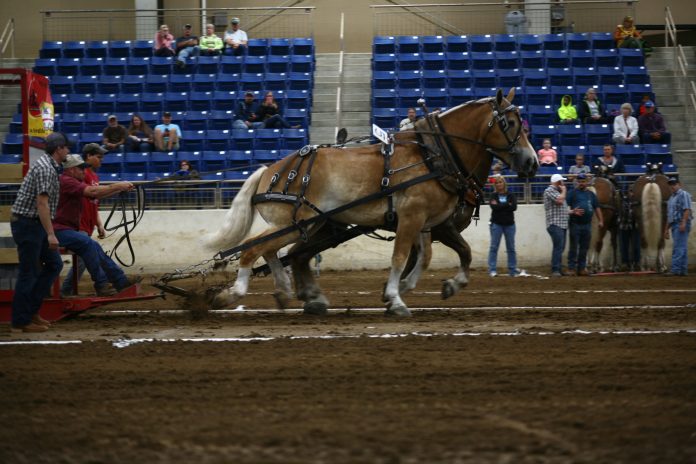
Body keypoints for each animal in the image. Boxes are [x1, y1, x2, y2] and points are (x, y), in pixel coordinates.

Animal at [204, 89, 538, 316]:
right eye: (510, 123)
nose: (532, 162)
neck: (433, 155)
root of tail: (270, 170)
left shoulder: (428, 222)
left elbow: (445, 255)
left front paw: (444, 286)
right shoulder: (414, 218)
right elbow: (401, 258)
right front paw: (396, 298)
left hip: (309, 224)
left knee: (279, 252)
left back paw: (292, 293)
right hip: (293, 222)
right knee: (255, 249)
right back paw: (234, 294)